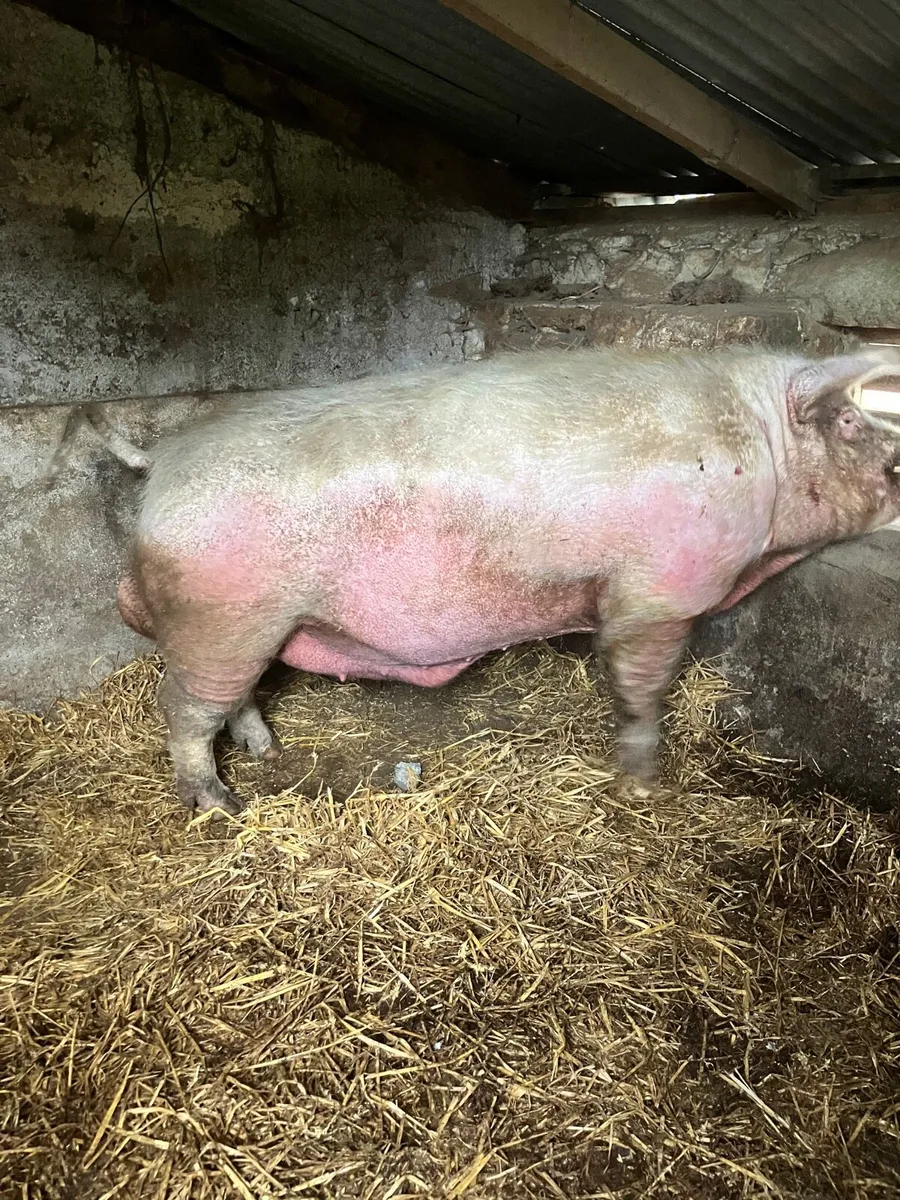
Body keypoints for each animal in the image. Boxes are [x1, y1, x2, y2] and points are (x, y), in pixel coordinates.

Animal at [82, 347, 900, 815]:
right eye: (851, 424)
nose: (898, 462)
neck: (761, 448)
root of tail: (163, 461)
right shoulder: (658, 589)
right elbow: (641, 684)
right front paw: (641, 783)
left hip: (250, 625)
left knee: (238, 696)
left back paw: (263, 751)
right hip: (219, 615)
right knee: (183, 708)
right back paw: (220, 806)